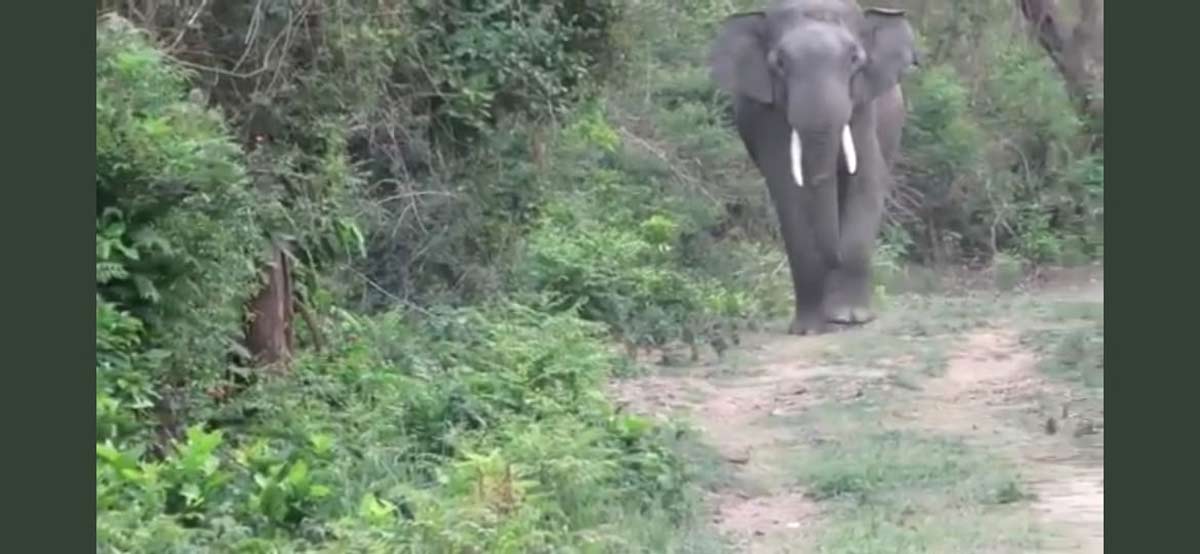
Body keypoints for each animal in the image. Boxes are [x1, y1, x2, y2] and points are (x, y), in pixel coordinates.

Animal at [708, 0, 919, 335]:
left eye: (855, 59)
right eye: (779, 63)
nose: (835, 259)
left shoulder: (863, 107)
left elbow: (865, 181)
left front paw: (851, 318)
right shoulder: (769, 118)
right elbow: (789, 194)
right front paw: (809, 329)